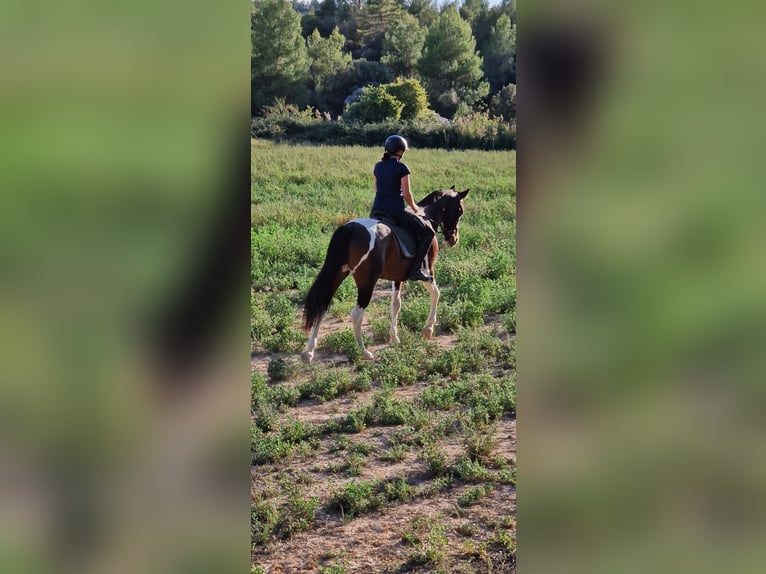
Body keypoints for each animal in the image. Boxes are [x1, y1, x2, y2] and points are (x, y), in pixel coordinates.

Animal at [300, 187, 468, 366]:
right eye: (460, 210)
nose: (453, 239)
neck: (426, 216)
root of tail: (350, 230)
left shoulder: (398, 276)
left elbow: (395, 304)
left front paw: (394, 337)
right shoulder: (428, 271)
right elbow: (436, 293)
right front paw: (428, 329)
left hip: (337, 274)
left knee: (322, 305)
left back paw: (309, 352)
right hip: (366, 283)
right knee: (356, 315)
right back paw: (364, 352)